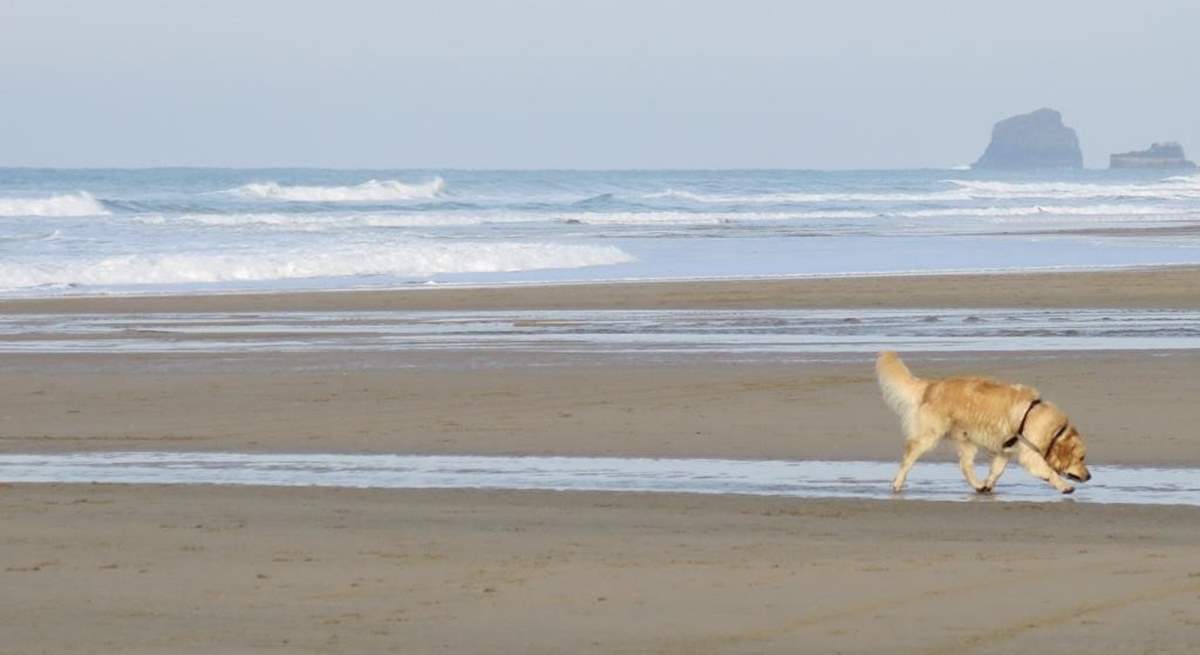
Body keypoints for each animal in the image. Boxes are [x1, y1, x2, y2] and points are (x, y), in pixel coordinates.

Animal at [878, 350, 1094, 491]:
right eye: (1081, 458)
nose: (1089, 476)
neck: (1053, 430)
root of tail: (932, 385)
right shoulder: (1029, 453)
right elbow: (1048, 471)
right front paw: (1064, 486)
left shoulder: (1005, 450)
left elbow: (997, 470)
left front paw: (989, 484)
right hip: (930, 434)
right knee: (909, 455)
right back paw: (897, 483)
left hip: (967, 439)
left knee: (965, 466)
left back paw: (978, 485)